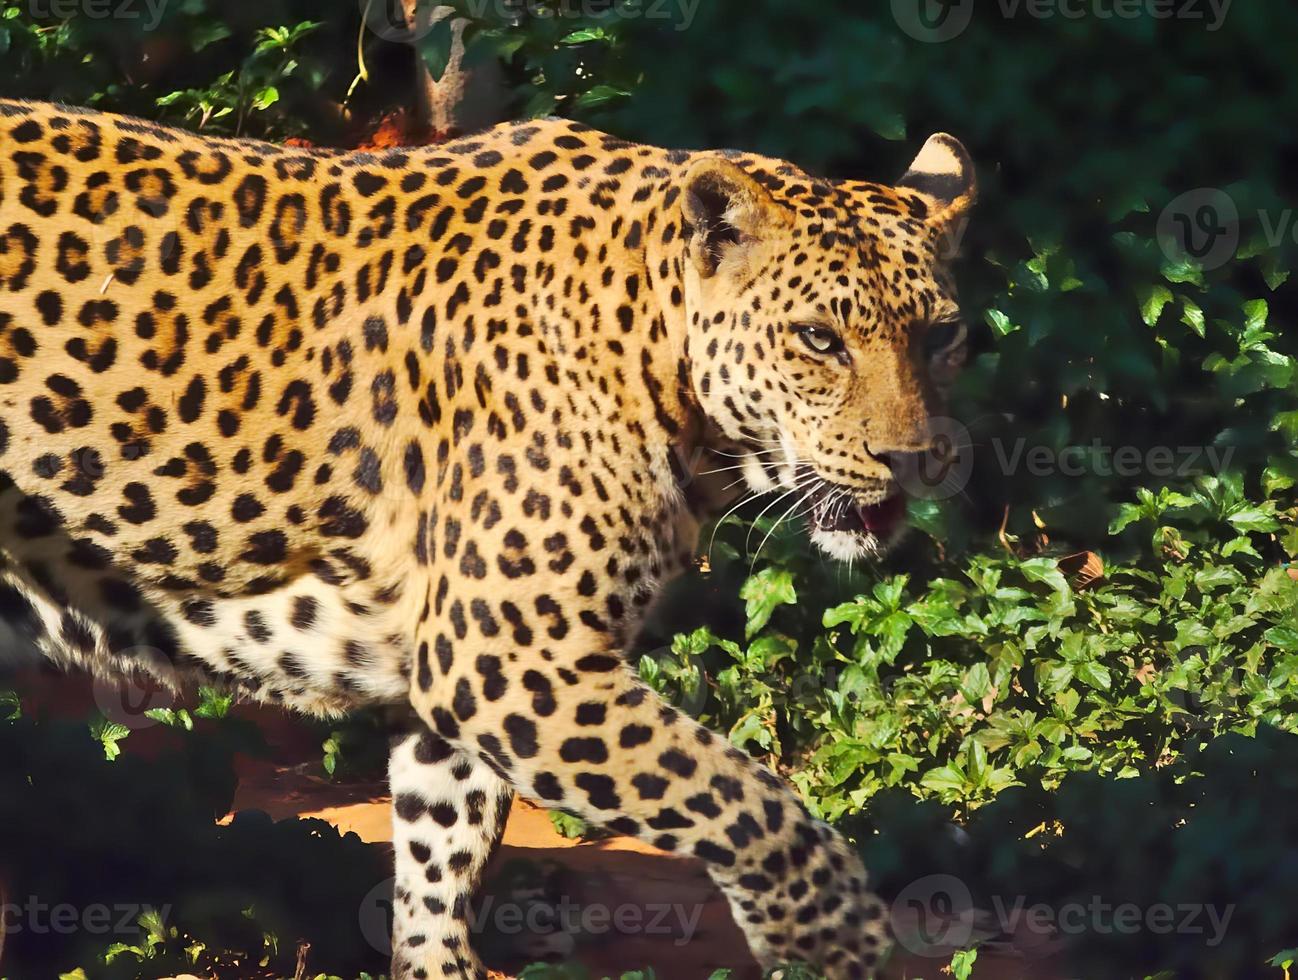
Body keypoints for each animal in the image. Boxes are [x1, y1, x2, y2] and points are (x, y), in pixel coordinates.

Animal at [0, 101, 976, 980]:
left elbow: (443, 861)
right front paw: (832, 935)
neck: (650, 342)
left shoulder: (466, 685)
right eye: (818, 339)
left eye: (944, 336)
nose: (913, 460)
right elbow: (740, 794)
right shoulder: (509, 658)